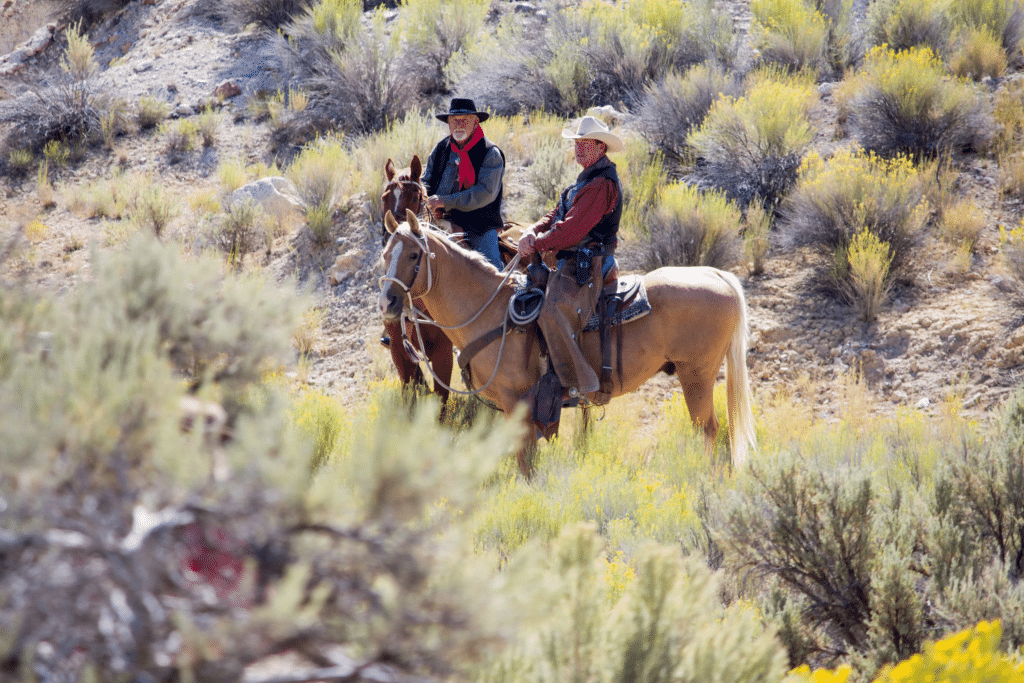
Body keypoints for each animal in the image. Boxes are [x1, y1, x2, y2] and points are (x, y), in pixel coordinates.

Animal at [380, 156, 452, 411]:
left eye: (415, 196)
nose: (393, 235)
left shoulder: (443, 353)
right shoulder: (399, 352)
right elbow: (410, 400)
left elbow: (440, 402)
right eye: (384, 198)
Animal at [380, 210, 757, 479]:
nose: (387, 302)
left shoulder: (518, 402)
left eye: (414, 255)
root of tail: (715, 274)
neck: (491, 310)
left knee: (709, 430)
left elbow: (527, 464)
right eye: (385, 254)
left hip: (696, 375)